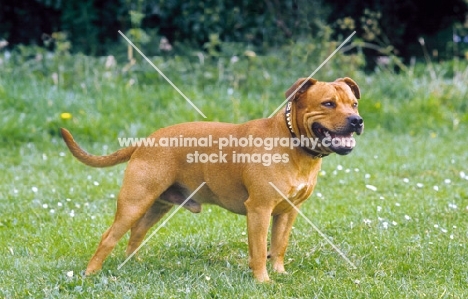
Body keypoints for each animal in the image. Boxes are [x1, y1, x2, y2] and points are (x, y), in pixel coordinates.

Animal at [61, 77, 362, 284]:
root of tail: (145, 141)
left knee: (137, 233)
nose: (357, 120)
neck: (292, 142)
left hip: (157, 205)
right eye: (328, 103)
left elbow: (278, 246)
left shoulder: (287, 212)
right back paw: (90, 273)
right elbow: (258, 250)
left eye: (354, 104)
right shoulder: (259, 210)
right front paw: (263, 281)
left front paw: (279, 272)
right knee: (109, 237)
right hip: (134, 203)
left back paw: (133, 264)